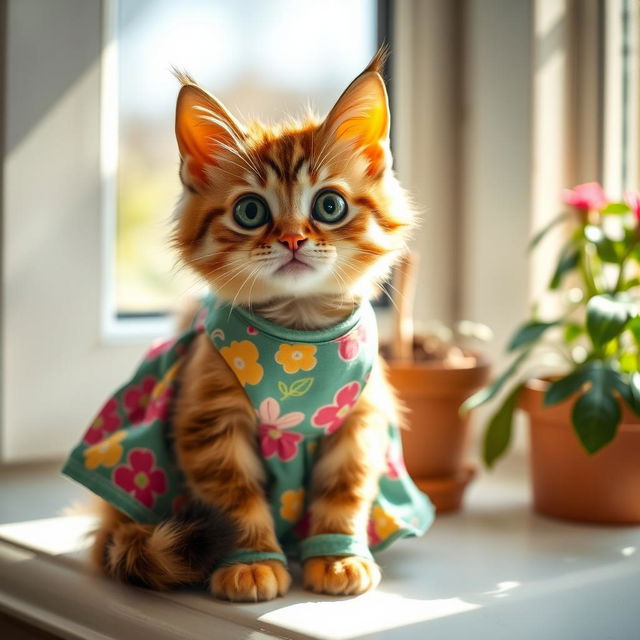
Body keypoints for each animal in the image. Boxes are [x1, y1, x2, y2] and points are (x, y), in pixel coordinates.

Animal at [67, 50, 432, 600]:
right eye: (251, 211)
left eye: (329, 205)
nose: (293, 239)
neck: (299, 331)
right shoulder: (209, 423)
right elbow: (237, 500)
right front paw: (253, 563)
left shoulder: (360, 422)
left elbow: (345, 492)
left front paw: (338, 557)